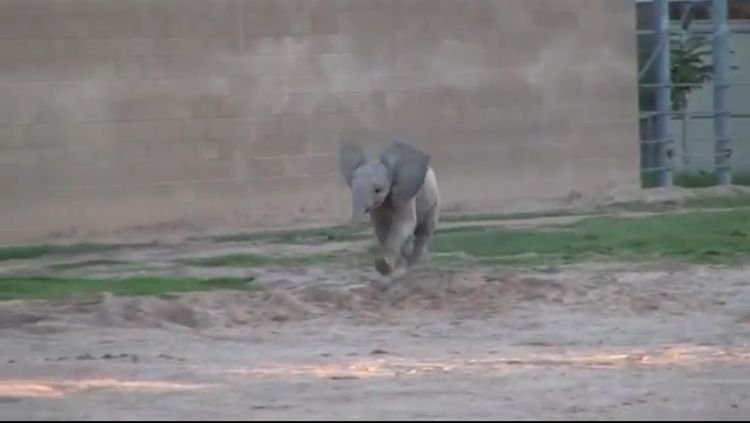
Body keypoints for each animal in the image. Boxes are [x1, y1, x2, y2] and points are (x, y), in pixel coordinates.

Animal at [340, 141, 440, 276]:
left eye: (377, 190)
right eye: (351, 187)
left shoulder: (405, 195)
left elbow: (404, 224)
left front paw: (385, 266)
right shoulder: (378, 208)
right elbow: (381, 228)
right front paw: (388, 267)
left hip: (434, 202)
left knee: (423, 233)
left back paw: (409, 266)